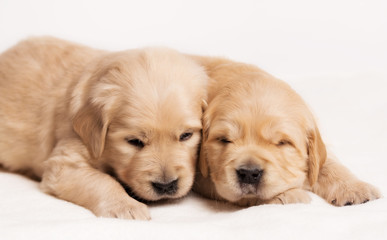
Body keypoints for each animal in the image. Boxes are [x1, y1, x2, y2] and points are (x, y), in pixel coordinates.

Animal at [0, 37, 208, 219]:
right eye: (134, 141)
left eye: (186, 135)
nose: (166, 185)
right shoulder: (66, 161)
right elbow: (102, 181)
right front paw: (126, 206)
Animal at [191, 55, 382, 206]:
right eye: (224, 140)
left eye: (282, 143)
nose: (249, 173)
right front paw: (287, 195)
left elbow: (327, 164)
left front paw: (355, 188)